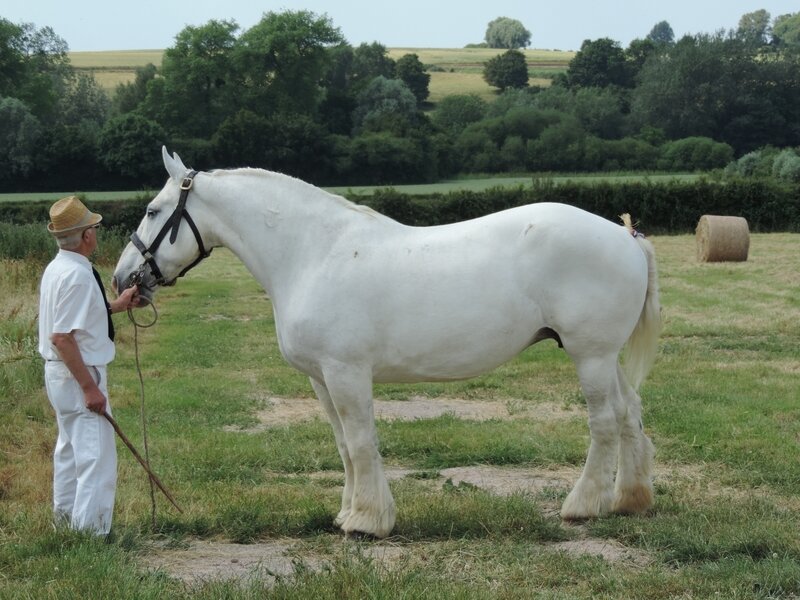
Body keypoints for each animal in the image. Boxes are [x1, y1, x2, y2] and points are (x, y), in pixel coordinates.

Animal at [112, 146, 664, 540]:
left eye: (153, 209)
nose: (123, 279)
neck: (315, 253)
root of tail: (625, 236)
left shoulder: (347, 373)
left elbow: (361, 442)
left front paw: (368, 522)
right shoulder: (321, 380)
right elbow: (343, 446)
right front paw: (347, 512)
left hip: (590, 356)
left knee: (604, 423)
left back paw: (582, 506)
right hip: (603, 357)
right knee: (631, 414)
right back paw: (630, 500)